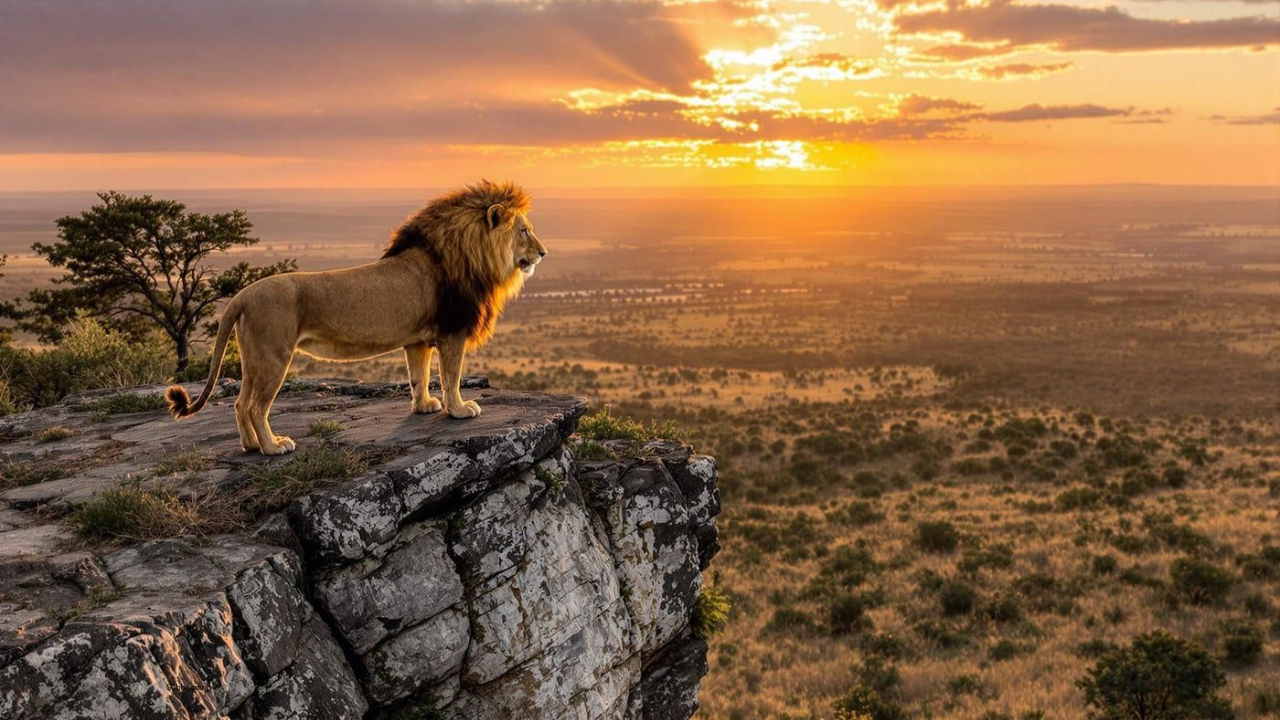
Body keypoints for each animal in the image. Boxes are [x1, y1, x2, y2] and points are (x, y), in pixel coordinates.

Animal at [164, 180, 547, 455]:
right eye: (524, 230)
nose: (544, 253)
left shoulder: (418, 340)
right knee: (257, 407)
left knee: (241, 403)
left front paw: (423, 406)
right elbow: (451, 377)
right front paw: (459, 409)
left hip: (253, 359)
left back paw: (250, 446)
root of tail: (241, 296)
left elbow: (419, 377)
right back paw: (273, 447)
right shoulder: (452, 333)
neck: (472, 255)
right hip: (274, 356)